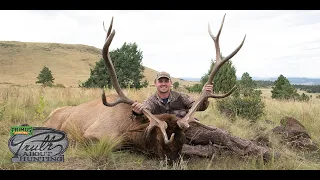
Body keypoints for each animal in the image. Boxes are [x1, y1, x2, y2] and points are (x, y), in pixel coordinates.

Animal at [44, 13, 245, 160]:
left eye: (182, 140)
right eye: (161, 141)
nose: (174, 159)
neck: (127, 129)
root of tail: (49, 115)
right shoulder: (93, 135)